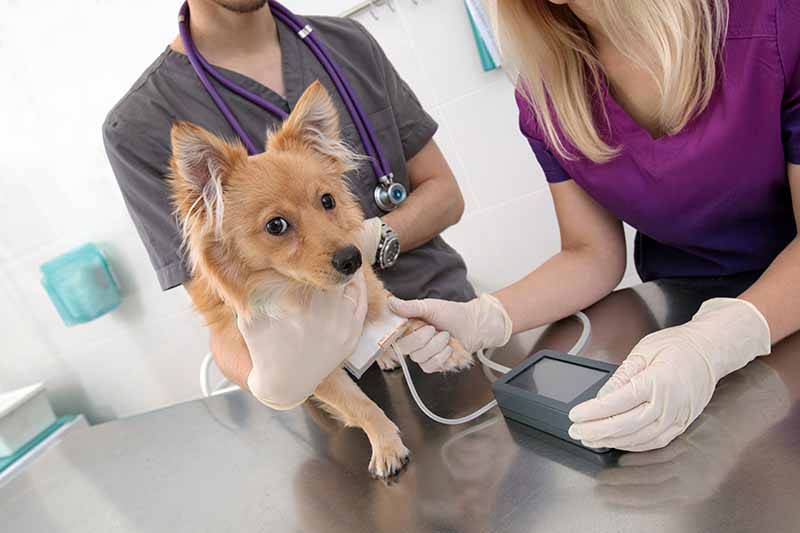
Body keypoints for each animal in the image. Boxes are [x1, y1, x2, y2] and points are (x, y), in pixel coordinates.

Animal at [166, 81, 472, 476]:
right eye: (276, 226)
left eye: (327, 201)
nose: (353, 258)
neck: (306, 292)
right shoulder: (310, 365)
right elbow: (359, 405)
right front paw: (386, 443)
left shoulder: (371, 293)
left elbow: (413, 321)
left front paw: (452, 348)